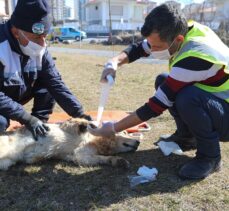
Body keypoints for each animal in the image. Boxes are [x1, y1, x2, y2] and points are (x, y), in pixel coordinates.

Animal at [0, 118, 140, 171]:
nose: (138, 142)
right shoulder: (68, 125)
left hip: (6, 162)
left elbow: (105, 158)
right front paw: (91, 123)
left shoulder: (82, 157)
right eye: (125, 131)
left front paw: (119, 161)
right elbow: (80, 121)